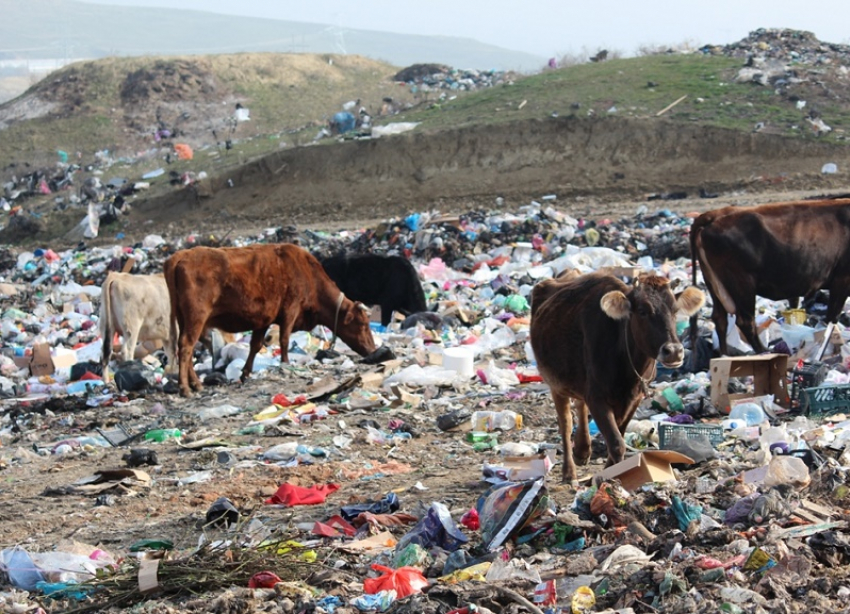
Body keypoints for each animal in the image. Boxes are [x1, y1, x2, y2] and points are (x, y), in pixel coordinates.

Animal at [164, 243, 376, 398]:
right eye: (363, 325)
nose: (374, 350)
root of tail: (181, 255)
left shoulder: (263, 319)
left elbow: (255, 345)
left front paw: (245, 372)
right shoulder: (290, 309)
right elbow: (284, 339)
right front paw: (286, 363)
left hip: (184, 319)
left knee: (186, 347)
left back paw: (196, 384)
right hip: (196, 317)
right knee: (186, 346)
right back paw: (186, 388)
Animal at [528, 274, 704, 486]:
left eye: (675, 310)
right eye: (642, 311)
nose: (674, 351)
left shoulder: (634, 398)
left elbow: (618, 434)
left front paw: (610, 471)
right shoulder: (596, 398)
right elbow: (616, 442)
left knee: (580, 405)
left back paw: (582, 450)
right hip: (555, 383)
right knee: (566, 423)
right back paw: (569, 472)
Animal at [684, 201, 848, 356]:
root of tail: (712, 215)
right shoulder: (841, 280)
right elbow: (831, 319)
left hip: (714, 284)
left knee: (720, 319)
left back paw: (725, 355)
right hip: (741, 284)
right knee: (745, 321)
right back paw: (764, 351)